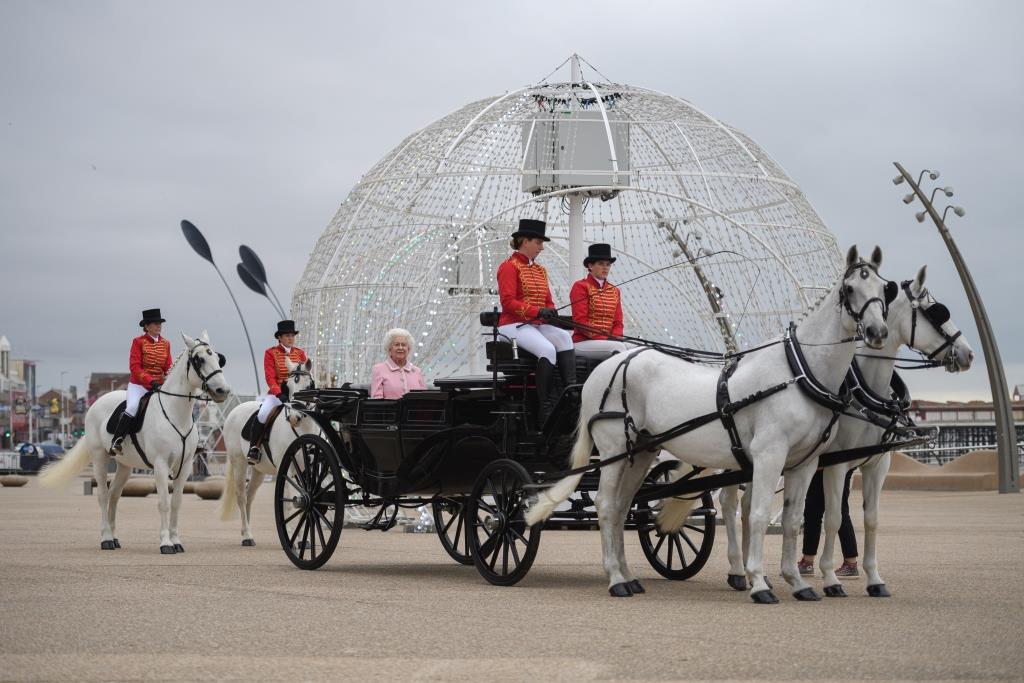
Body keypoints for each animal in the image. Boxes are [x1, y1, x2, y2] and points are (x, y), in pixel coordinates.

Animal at [40, 331, 231, 557]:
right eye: (199, 359)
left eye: (218, 358)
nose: (222, 390)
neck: (176, 413)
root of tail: (96, 403)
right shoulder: (160, 465)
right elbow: (164, 503)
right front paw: (166, 543)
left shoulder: (184, 467)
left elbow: (176, 503)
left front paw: (176, 541)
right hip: (99, 458)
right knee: (103, 496)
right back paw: (106, 538)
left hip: (125, 466)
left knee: (114, 495)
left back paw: (114, 538)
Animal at [220, 358, 319, 544]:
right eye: (287, 386)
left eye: (309, 385)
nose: (294, 417)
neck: (302, 429)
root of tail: (234, 411)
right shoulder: (286, 468)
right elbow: (289, 502)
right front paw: (292, 537)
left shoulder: (305, 469)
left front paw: (302, 539)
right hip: (239, 464)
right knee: (242, 496)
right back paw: (247, 535)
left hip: (259, 471)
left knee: (250, 495)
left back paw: (247, 532)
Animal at [532, 246, 892, 602]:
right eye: (850, 289)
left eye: (884, 288)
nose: (878, 333)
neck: (798, 374)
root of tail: (611, 363)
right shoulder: (769, 456)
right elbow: (758, 515)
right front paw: (759, 582)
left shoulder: (805, 463)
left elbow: (792, 521)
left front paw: (797, 582)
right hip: (612, 451)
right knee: (606, 505)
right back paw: (615, 579)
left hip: (641, 453)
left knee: (622, 507)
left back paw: (629, 576)